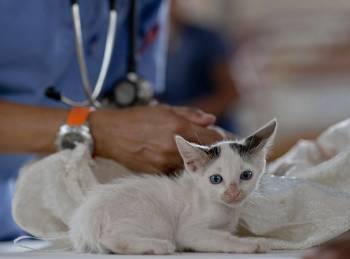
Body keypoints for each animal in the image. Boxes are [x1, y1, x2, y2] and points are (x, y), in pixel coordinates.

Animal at [67, 121, 276, 255]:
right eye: (216, 179)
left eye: (246, 175)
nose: (232, 192)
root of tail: (84, 220)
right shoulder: (188, 230)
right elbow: (221, 238)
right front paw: (253, 243)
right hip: (152, 218)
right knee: (110, 239)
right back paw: (160, 246)